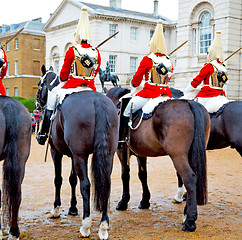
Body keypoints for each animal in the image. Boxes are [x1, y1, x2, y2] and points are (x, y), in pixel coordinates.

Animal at [35, 65, 118, 240]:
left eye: (40, 84)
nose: (37, 105)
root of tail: (98, 101)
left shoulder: (57, 152)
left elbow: (58, 179)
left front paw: (56, 209)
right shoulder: (73, 155)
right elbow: (72, 179)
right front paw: (73, 208)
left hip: (81, 156)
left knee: (85, 185)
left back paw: (86, 226)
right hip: (107, 156)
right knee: (106, 184)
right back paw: (103, 226)